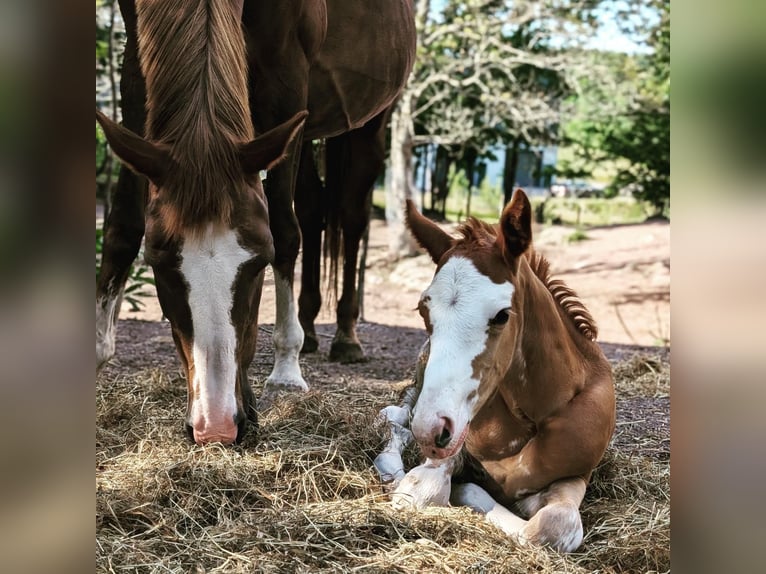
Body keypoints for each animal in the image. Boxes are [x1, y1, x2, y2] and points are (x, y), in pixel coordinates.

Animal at [99, 1, 416, 446]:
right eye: (158, 264)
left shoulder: (287, 75)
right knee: (314, 209)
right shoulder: (137, 66)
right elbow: (122, 226)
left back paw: (344, 336)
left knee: (351, 218)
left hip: (371, 121)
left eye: (258, 264)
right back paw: (311, 330)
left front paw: (285, 372)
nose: (215, 425)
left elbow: (283, 229)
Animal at [376, 192, 616, 552]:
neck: (533, 414)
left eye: (502, 314)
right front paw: (460, 486)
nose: (432, 430)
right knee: (397, 415)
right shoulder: (448, 447)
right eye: (422, 309)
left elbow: (553, 524)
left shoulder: (577, 473)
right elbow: (421, 491)